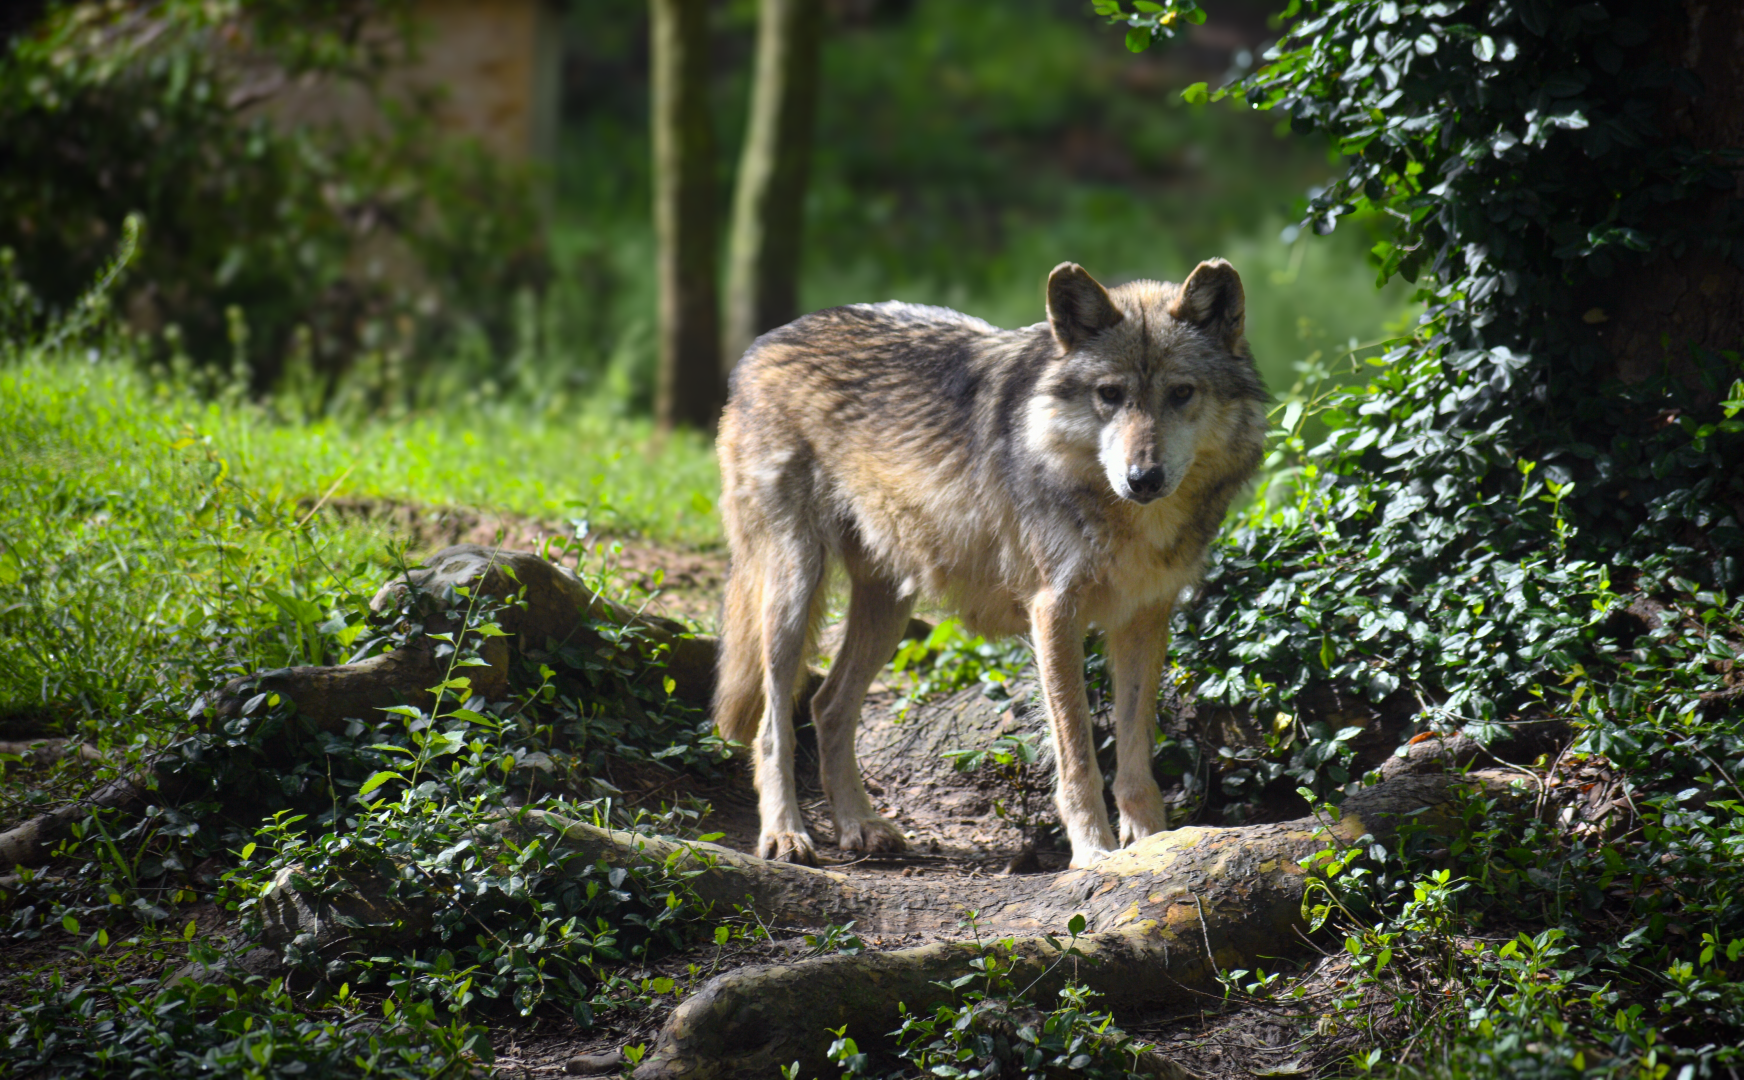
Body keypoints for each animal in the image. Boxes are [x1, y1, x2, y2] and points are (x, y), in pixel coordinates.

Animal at [714, 259, 1269, 868]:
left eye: (1181, 393)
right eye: (1110, 394)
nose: (1142, 478)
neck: (1125, 516)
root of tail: (761, 346)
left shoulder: (1144, 618)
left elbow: (1135, 757)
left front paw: (1151, 844)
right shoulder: (1053, 612)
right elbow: (1077, 753)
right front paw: (1092, 852)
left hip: (889, 609)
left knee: (827, 705)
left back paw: (860, 825)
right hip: (794, 587)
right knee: (772, 725)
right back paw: (785, 834)